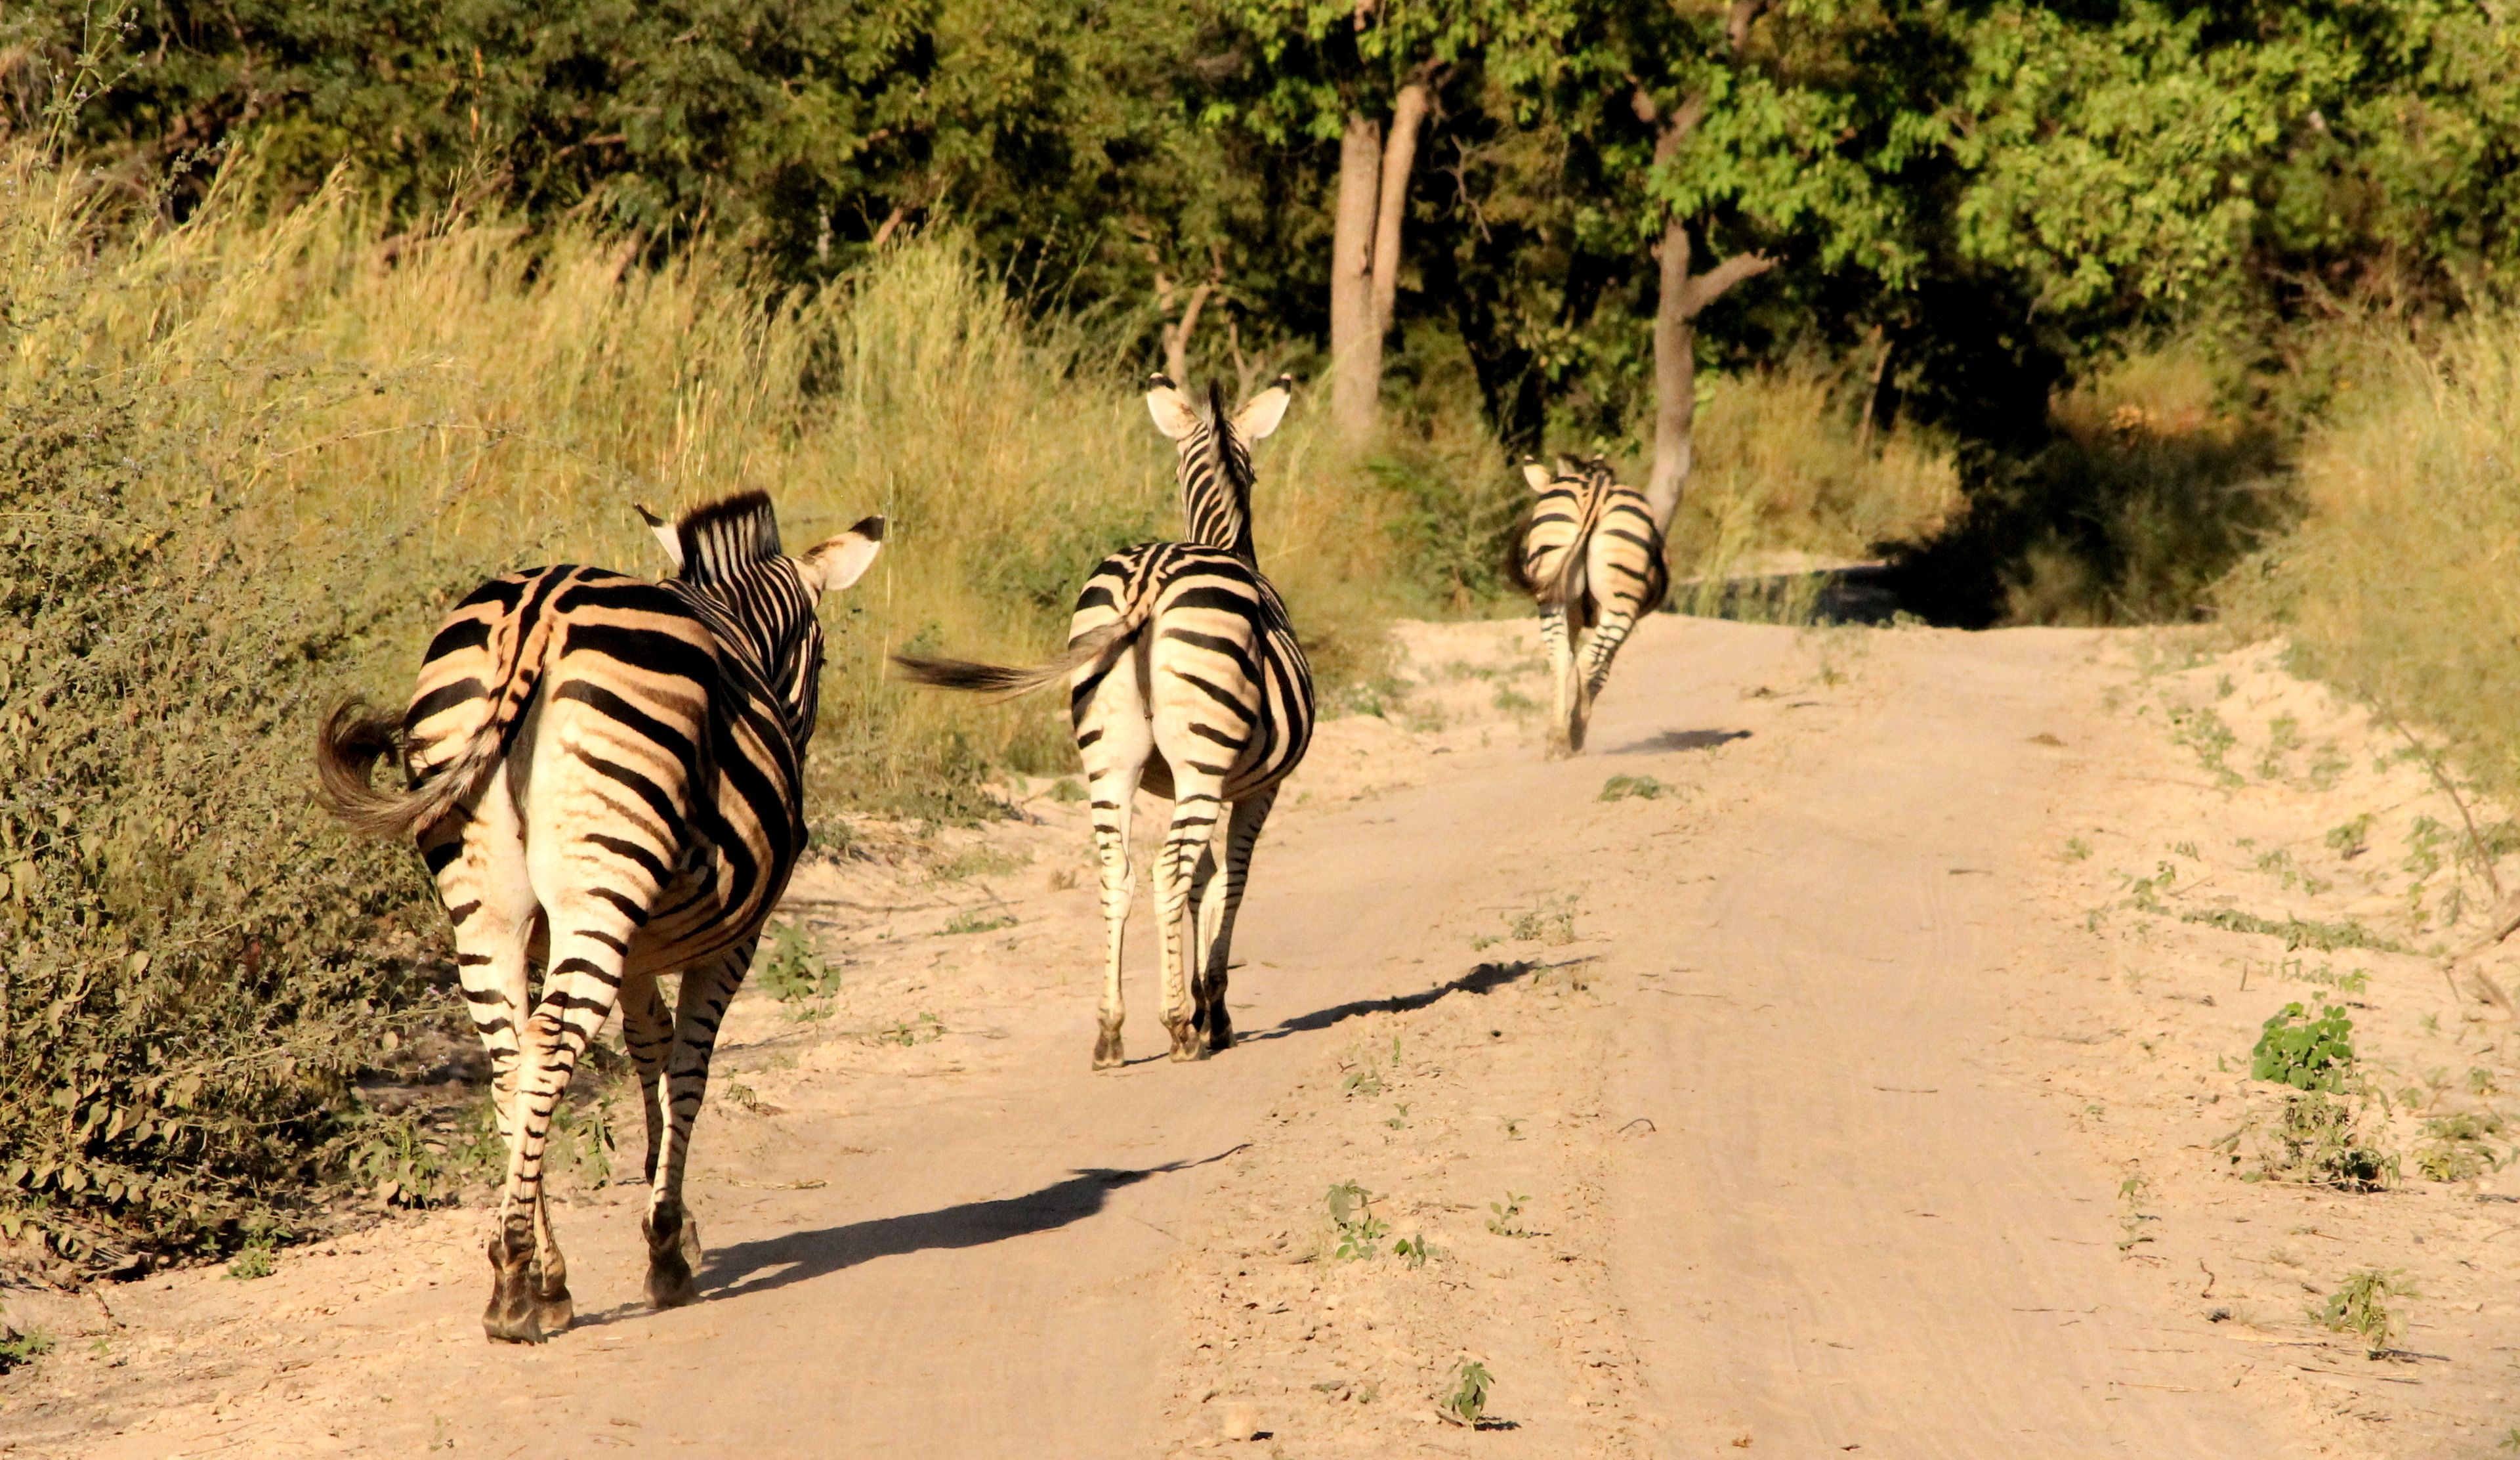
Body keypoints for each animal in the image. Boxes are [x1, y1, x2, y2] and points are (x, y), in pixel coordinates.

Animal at [315, 493, 883, 1344]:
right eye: (821, 660)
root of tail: (537, 609)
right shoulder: (730, 943)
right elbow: (687, 1069)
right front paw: (667, 1244)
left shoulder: (642, 950)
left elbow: (647, 1051)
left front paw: (669, 1214)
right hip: (600, 887)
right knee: (550, 1041)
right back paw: (520, 1276)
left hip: (487, 903)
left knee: (511, 1057)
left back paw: (533, 1272)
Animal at [893, 375, 1313, 1068]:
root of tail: (1150, 580)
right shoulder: (1257, 788)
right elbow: (1227, 883)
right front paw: (1213, 1012)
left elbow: (1203, 883)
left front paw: (1201, 1002)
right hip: (1198, 763)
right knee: (1166, 870)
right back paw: (1176, 1028)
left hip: (1109, 757)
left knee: (1117, 872)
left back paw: (1112, 1033)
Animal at [1505, 456, 1670, 757]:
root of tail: (1594, 490)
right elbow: (1601, 672)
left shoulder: (1571, 614)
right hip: (1620, 607)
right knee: (1589, 660)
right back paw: (1575, 736)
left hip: (1553, 596)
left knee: (1560, 656)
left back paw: (1557, 742)